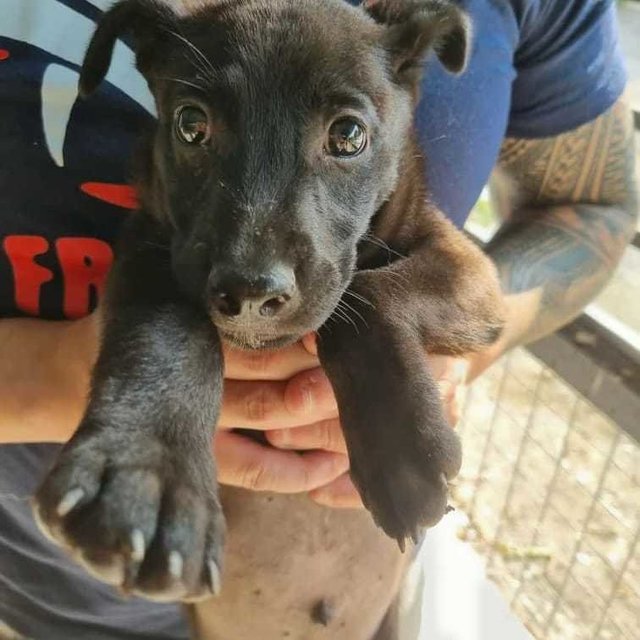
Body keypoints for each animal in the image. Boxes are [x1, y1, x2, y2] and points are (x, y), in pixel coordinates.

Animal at [35, 0, 504, 604]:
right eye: (191, 124)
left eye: (348, 134)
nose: (251, 293)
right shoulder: (151, 246)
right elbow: (166, 330)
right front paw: (144, 473)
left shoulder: (473, 272)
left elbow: (369, 295)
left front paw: (400, 457)